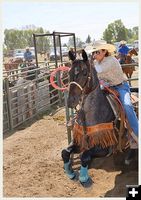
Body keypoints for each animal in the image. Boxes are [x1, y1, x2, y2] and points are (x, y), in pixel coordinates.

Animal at [61, 50, 132, 188]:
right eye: (69, 72)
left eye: (84, 72)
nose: (71, 101)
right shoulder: (80, 141)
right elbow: (65, 152)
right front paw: (70, 173)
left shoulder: (105, 147)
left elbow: (85, 156)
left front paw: (84, 178)